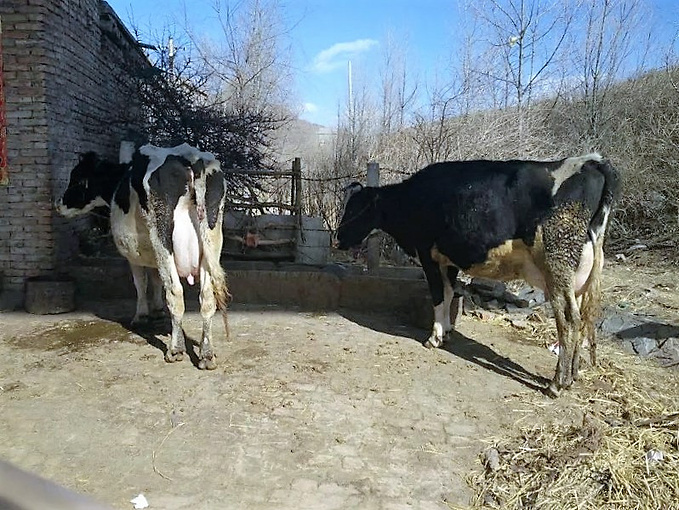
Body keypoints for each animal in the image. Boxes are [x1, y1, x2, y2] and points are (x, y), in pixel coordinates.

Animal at [57, 144, 230, 370]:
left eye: (76, 179)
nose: (58, 204)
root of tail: (192, 157)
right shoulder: (152, 254)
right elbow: (156, 280)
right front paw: (156, 310)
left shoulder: (133, 254)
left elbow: (140, 283)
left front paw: (141, 315)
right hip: (211, 240)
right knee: (207, 297)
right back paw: (207, 355)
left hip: (163, 238)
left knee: (175, 292)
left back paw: (175, 350)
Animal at [334, 153, 620, 396]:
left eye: (354, 209)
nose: (338, 238)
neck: (414, 199)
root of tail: (590, 161)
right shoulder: (448, 259)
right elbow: (450, 292)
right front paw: (447, 331)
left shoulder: (428, 254)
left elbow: (438, 295)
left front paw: (434, 337)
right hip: (578, 274)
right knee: (580, 319)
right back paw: (573, 375)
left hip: (557, 264)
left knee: (569, 319)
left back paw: (557, 384)